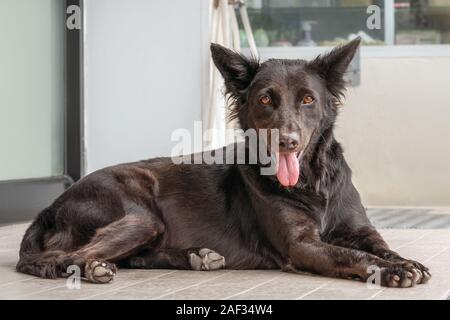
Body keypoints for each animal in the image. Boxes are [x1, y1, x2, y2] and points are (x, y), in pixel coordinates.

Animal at [17, 38, 430, 288]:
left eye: (308, 100)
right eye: (265, 100)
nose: (287, 142)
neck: (313, 182)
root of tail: (52, 205)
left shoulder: (362, 230)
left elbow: (377, 246)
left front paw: (401, 261)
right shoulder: (302, 245)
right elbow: (351, 254)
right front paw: (394, 270)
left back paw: (197, 257)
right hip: (139, 215)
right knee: (60, 257)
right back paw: (93, 267)